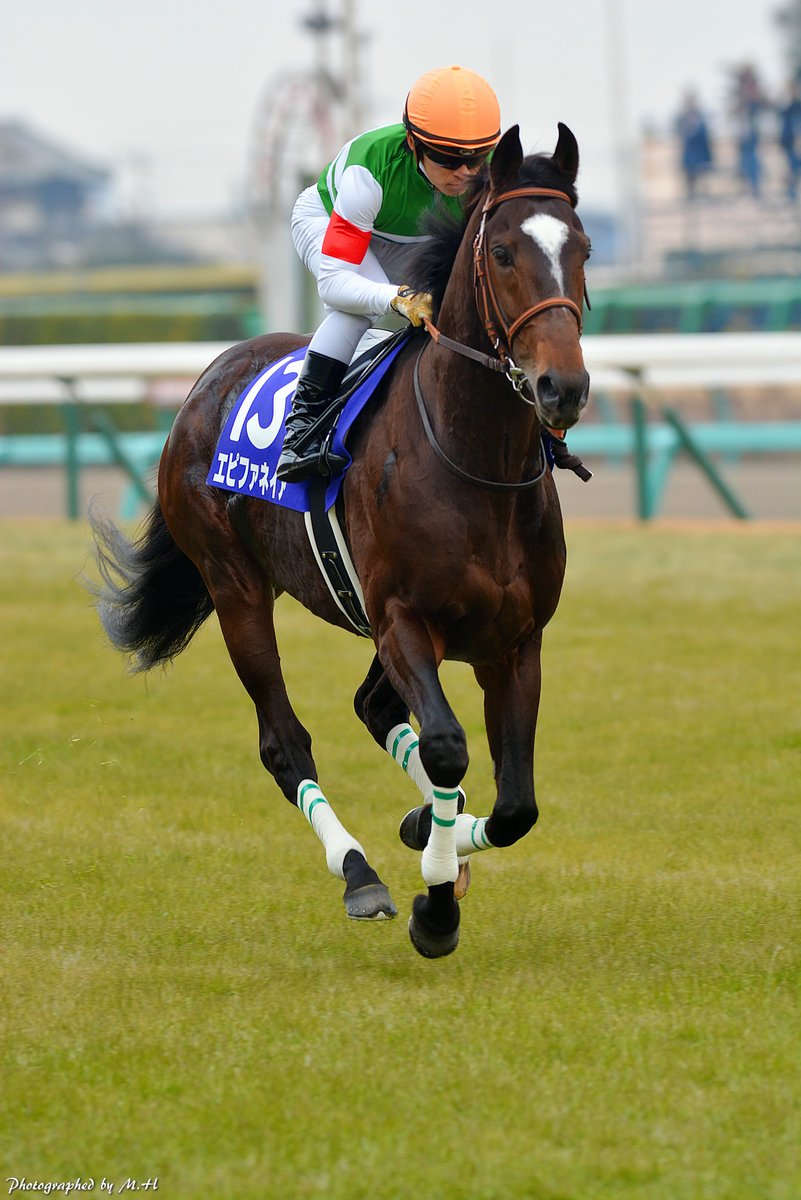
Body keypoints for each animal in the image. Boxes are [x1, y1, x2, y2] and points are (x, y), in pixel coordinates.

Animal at [88, 123, 591, 958]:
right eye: (501, 254)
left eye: (580, 247)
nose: (563, 388)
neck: (473, 461)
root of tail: (210, 377)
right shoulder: (404, 621)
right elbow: (447, 746)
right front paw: (434, 901)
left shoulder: (515, 641)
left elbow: (515, 804)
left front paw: (439, 840)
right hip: (236, 589)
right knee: (284, 740)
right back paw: (360, 874)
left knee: (371, 708)